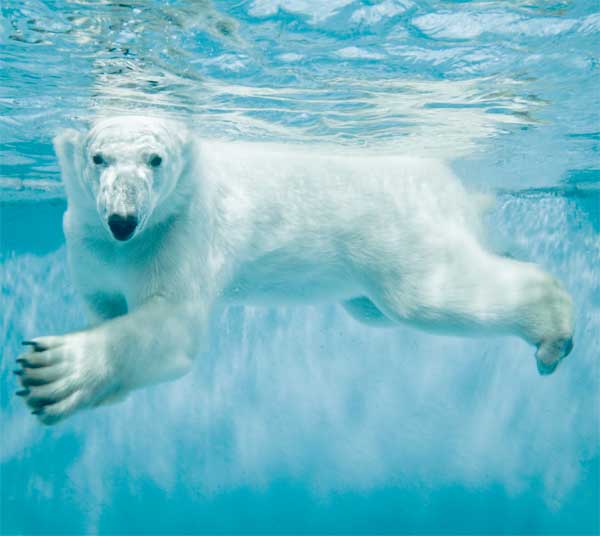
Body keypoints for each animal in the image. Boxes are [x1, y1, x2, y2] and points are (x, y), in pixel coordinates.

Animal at [16, 116, 576, 422]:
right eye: (98, 157)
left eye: (155, 159)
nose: (123, 220)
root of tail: (450, 183)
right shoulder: (86, 243)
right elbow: (106, 304)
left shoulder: (182, 231)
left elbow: (171, 325)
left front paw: (53, 371)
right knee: (375, 309)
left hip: (394, 229)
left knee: (426, 297)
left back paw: (553, 329)